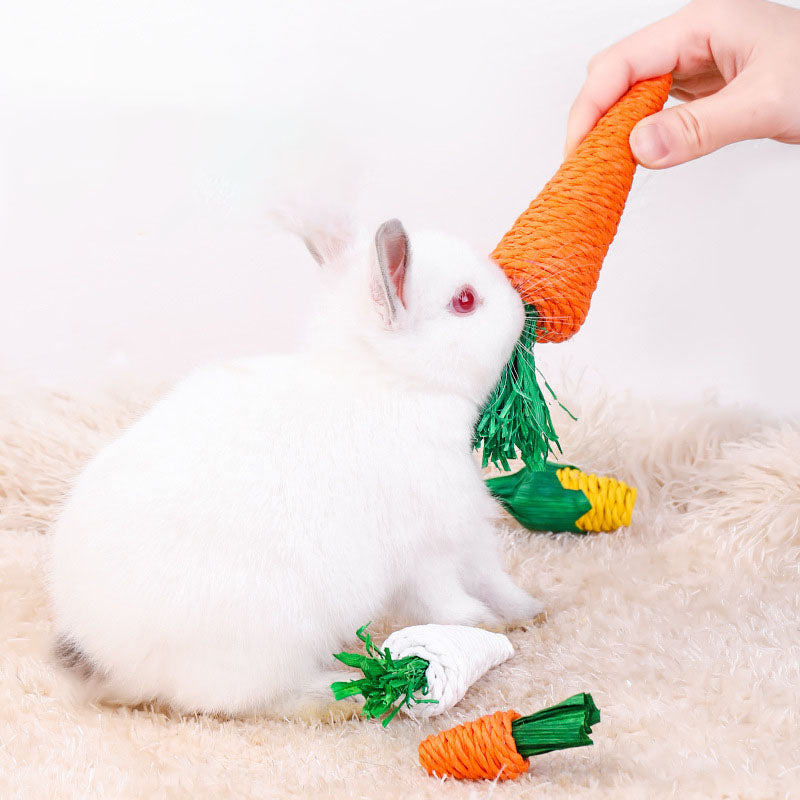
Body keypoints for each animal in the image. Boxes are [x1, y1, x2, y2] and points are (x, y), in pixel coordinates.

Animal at [47, 217, 540, 720]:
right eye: (466, 301)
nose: (523, 308)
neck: (393, 382)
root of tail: (108, 659)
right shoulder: (425, 551)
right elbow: (447, 600)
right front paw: (483, 624)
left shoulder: (468, 535)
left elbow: (493, 580)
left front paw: (531, 612)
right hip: (269, 642)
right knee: (260, 699)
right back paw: (341, 693)